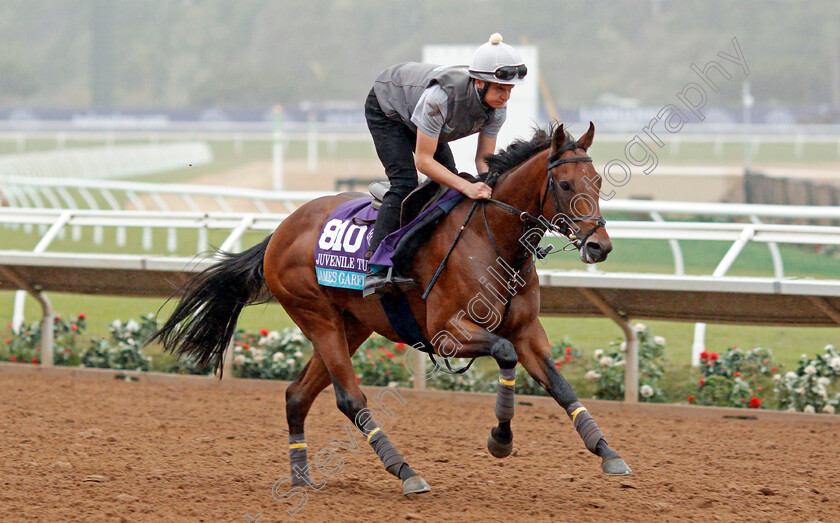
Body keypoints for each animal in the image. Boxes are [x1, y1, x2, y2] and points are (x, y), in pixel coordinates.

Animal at [149, 122, 632, 496]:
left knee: (296, 395)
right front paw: (500, 438)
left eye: (598, 183)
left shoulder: (529, 329)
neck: (493, 239)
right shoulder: (447, 332)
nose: (600, 246)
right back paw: (405, 471)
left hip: (352, 325)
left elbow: (559, 384)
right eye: (565, 185)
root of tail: (282, 230)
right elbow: (505, 354)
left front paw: (607, 452)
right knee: (350, 398)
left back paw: (302, 476)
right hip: (316, 316)